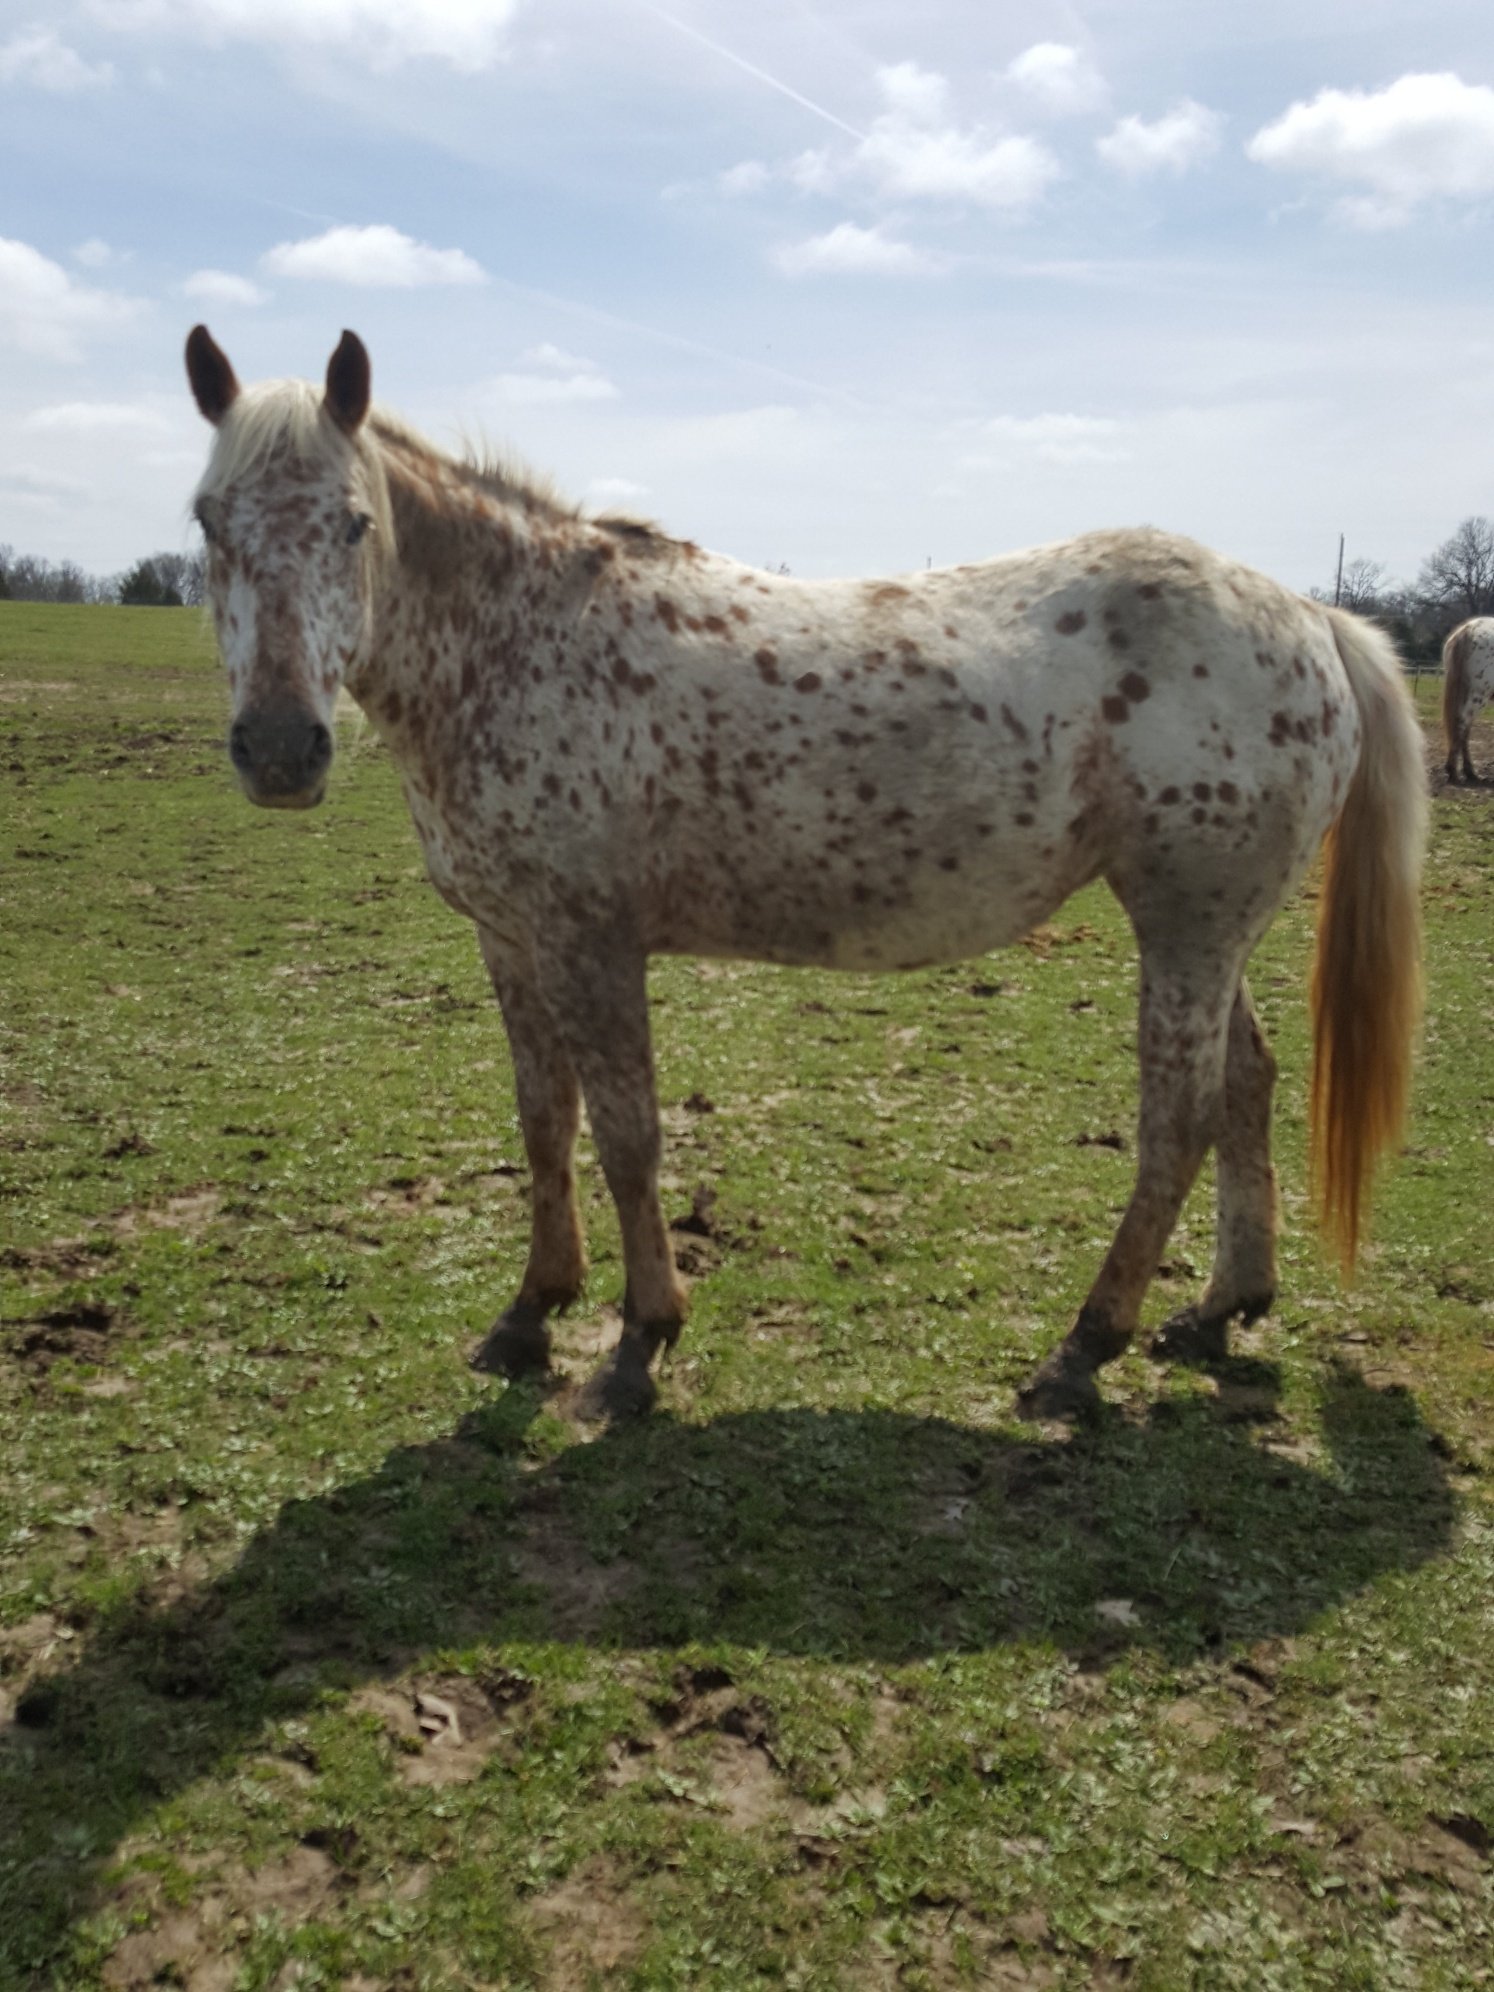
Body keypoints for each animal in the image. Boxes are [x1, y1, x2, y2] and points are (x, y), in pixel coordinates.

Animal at [184, 326, 1427, 1423]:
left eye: (353, 524)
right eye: (205, 522)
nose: (282, 749)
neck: (519, 643)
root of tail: (1311, 616)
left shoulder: (593, 941)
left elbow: (628, 1135)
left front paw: (639, 1343)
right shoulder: (511, 937)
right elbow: (545, 1122)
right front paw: (531, 1313)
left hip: (1185, 927)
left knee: (1180, 1118)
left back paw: (1085, 1348)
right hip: (1211, 931)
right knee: (1248, 1085)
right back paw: (1219, 1308)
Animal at [1441, 618, 1494, 782]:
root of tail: (1470, 628)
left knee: (1464, 730)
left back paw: (1468, 771)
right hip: (1477, 695)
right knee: (1462, 724)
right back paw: (1454, 772)